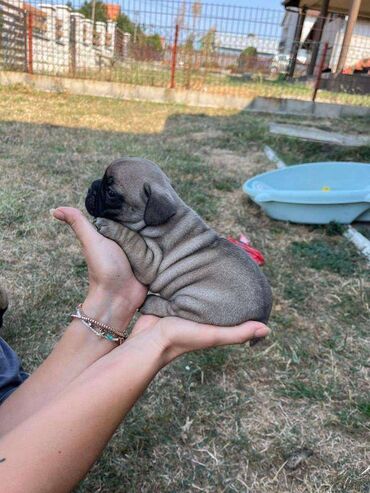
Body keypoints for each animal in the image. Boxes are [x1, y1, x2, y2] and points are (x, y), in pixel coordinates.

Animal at [86, 158, 272, 334]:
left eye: (110, 192)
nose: (91, 187)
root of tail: (263, 314)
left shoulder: (149, 261)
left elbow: (133, 238)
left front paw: (111, 226)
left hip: (195, 300)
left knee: (173, 309)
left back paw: (151, 303)